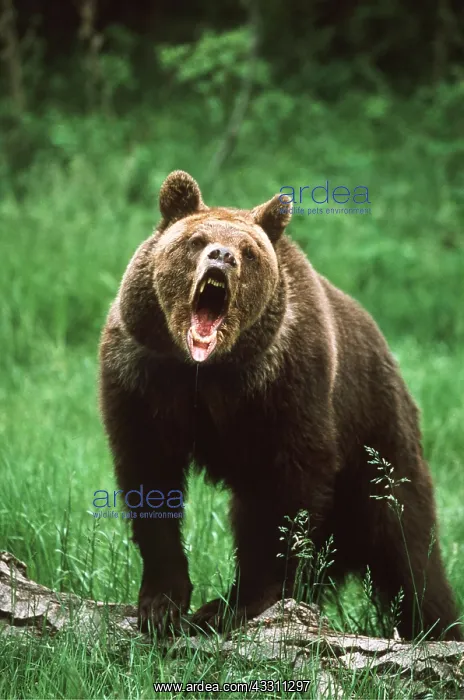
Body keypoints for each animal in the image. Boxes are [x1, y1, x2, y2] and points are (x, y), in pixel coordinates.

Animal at [99, 170, 461, 640]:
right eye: (197, 240)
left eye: (249, 252)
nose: (222, 257)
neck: (206, 370)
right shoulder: (142, 378)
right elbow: (148, 477)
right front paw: (162, 603)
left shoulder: (287, 386)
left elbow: (284, 493)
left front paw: (230, 605)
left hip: (378, 440)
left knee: (409, 548)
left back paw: (437, 627)